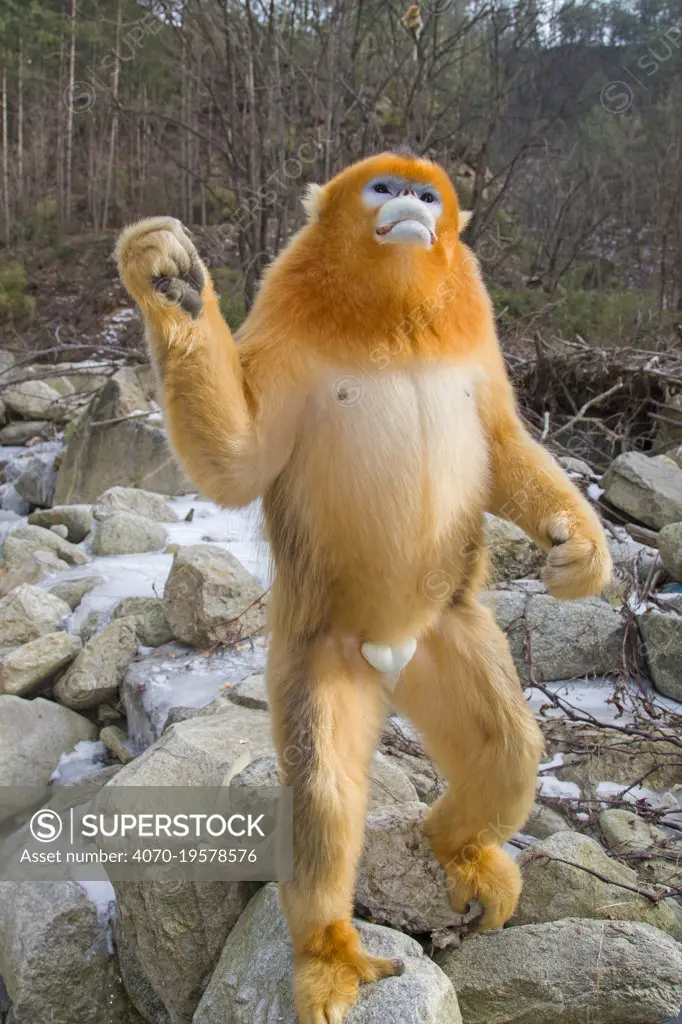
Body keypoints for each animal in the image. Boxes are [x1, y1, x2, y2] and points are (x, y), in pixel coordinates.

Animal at [115, 153, 610, 1024]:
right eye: (384, 187)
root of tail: (391, 653)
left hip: (449, 634)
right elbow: (238, 465)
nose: (410, 204)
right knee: (324, 791)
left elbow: (502, 440)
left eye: (426, 193)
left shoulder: (477, 334)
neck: (394, 316)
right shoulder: (284, 327)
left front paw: (578, 547)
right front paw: (168, 284)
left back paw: (459, 847)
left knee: (508, 748)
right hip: (317, 653)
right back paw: (326, 949)